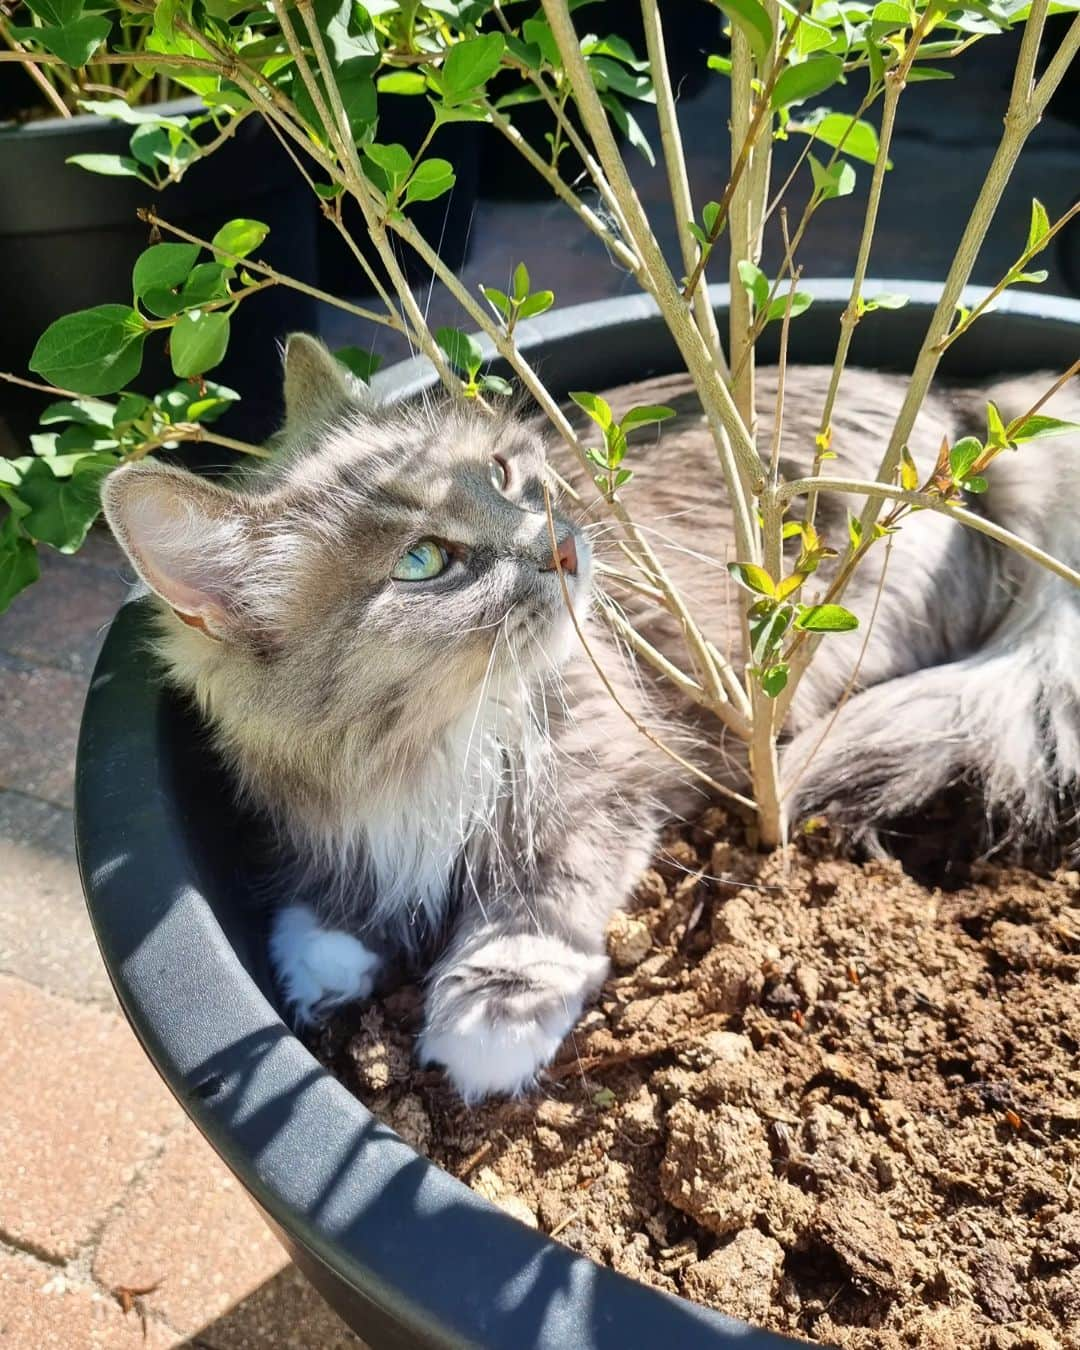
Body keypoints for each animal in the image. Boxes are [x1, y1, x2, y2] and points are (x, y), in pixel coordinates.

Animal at [103, 332, 1080, 1101]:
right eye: (424, 561)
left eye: (503, 474)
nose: (562, 543)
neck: (427, 744)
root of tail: (964, 414)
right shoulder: (338, 813)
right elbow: (343, 894)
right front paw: (327, 962)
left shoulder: (600, 771)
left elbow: (546, 894)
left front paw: (492, 1014)